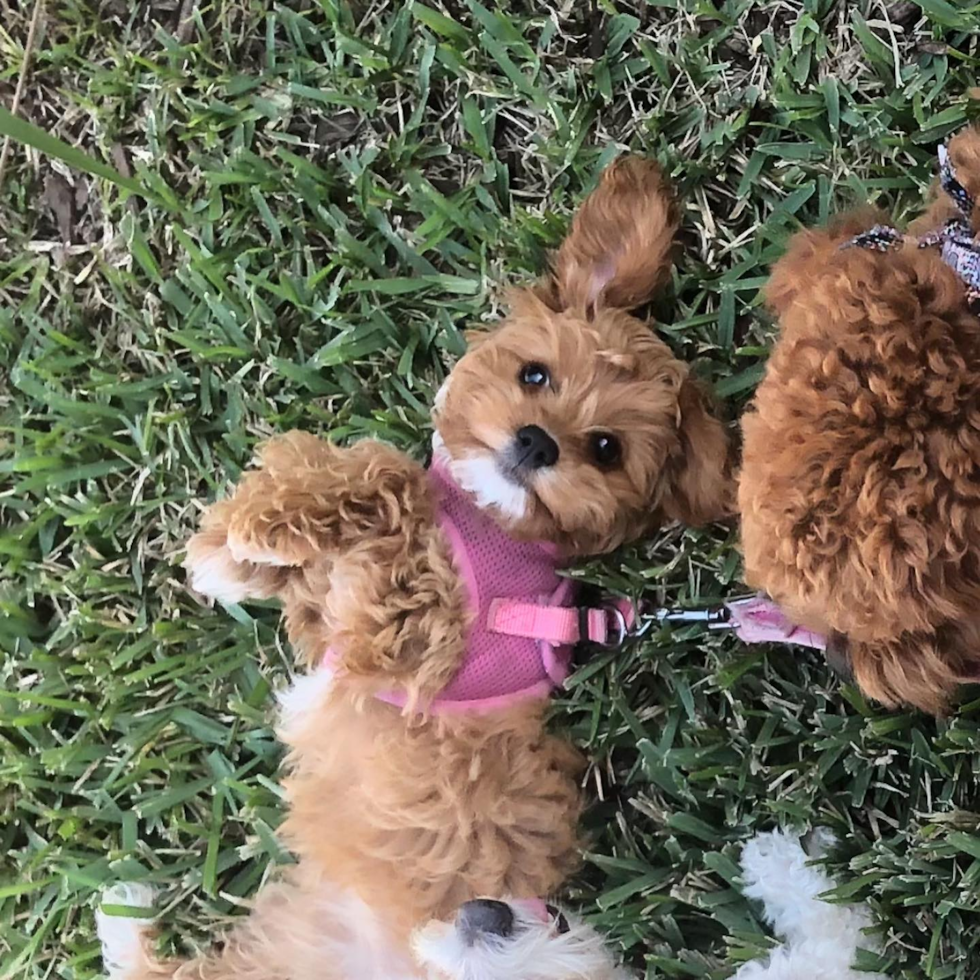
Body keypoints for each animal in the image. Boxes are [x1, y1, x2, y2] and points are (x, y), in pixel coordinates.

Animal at [186, 159, 736, 936]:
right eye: (534, 374)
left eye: (607, 449)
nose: (536, 441)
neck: (485, 521)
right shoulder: (341, 616)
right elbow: (322, 561)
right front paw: (234, 553)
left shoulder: (412, 636)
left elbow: (391, 479)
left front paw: (257, 529)